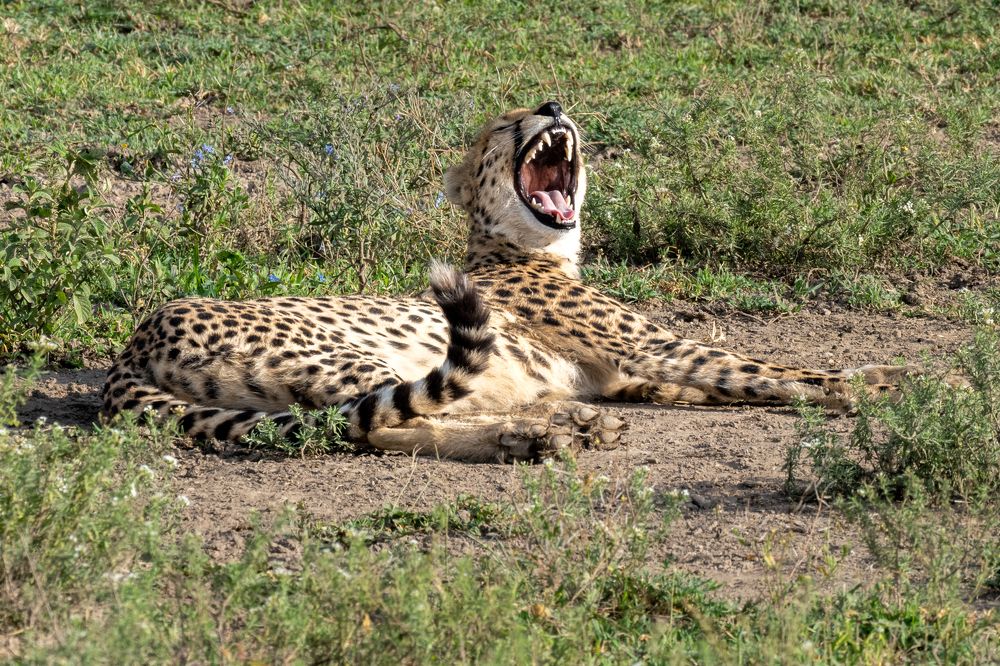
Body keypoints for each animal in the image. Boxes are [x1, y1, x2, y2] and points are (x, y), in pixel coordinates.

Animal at [101, 101, 914, 462]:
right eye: (505, 124)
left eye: (548, 108)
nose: (553, 107)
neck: (533, 247)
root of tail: (135, 342)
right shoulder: (655, 350)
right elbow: (771, 365)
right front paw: (883, 381)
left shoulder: (631, 369)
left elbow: (734, 380)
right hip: (351, 357)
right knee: (385, 423)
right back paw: (540, 430)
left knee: (374, 428)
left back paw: (551, 428)